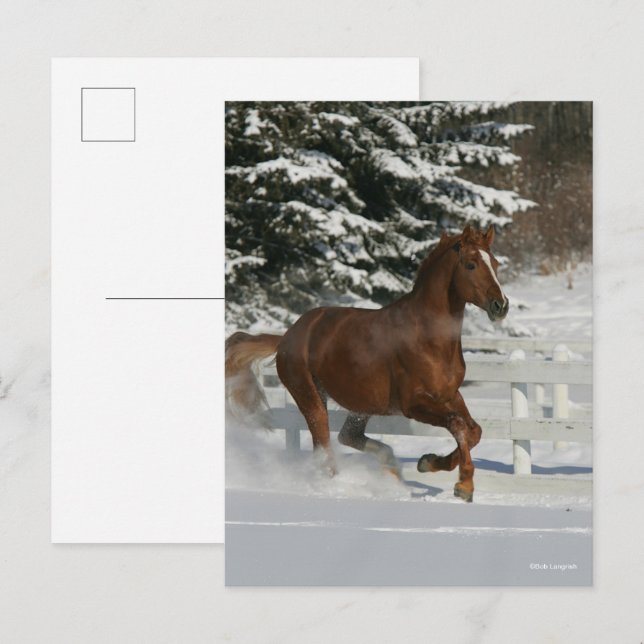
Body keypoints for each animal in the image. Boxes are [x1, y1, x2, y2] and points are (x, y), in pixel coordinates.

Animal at [225, 224, 509, 502]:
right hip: (310, 397)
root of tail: (287, 336)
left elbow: (474, 431)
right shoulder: (413, 404)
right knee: (324, 445)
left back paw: (390, 467)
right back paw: (337, 485)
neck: (428, 338)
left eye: (495, 263)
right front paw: (464, 485)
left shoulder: (450, 396)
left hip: (363, 403)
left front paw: (428, 462)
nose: (501, 306)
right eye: (471, 264)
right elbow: (458, 425)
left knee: (347, 435)